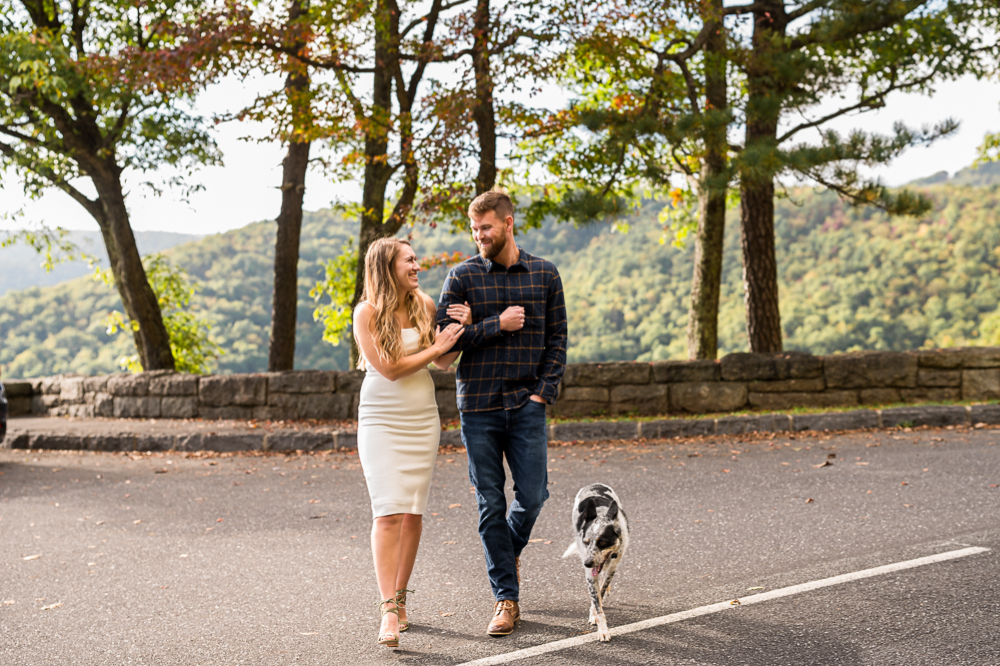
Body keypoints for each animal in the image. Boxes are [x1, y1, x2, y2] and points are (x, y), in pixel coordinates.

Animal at [560, 480, 628, 640]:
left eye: (602, 542)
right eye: (586, 542)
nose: (587, 563)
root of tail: (594, 484)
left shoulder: (612, 568)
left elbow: (601, 592)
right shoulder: (589, 574)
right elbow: (597, 601)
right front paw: (602, 628)